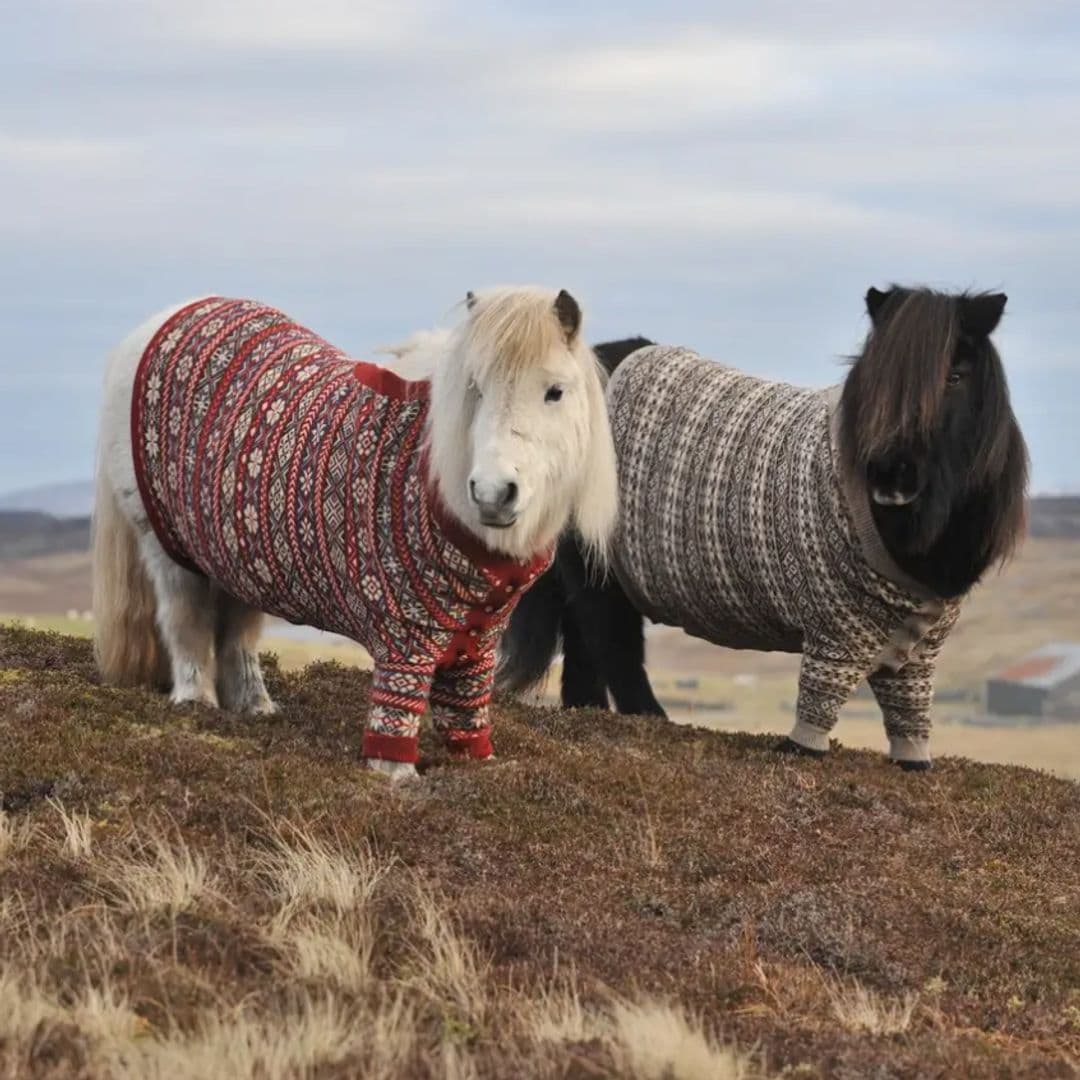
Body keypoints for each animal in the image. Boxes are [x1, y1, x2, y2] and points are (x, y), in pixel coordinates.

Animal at [92, 287, 617, 777]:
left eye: (555, 391)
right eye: (475, 388)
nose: (492, 493)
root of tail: (163, 320)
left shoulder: (478, 642)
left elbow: (466, 713)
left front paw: (477, 766)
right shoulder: (405, 637)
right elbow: (396, 714)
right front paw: (397, 775)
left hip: (235, 557)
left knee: (237, 635)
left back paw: (256, 708)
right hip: (167, 550)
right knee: (185, 621)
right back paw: (195, 703)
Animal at [498, 289, 1028, 768]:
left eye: (955, 377)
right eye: (875, 380)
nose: (890, 476)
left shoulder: (920, 649)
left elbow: (910, 712)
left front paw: (914, 762)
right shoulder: (834, 632)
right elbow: (819, 701)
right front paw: (801, 750)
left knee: (585, 640)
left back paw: (589, 711)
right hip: (599, 567)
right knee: (612, 643)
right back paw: (649, 718)